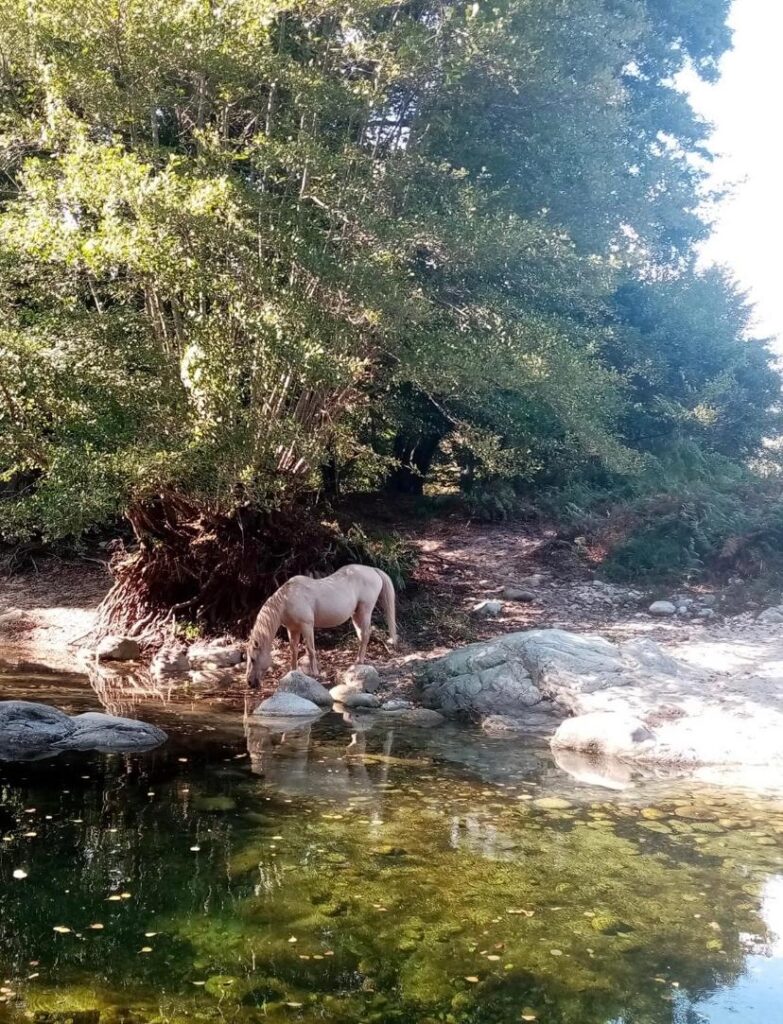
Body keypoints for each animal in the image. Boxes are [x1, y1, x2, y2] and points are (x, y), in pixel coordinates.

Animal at [244, 569, 397, 688]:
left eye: (253, 659)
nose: (250, 682)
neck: (286, 600)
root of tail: (373, 570)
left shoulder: (306, 626)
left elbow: (310, 649)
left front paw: (315, 673)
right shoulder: (293, 629)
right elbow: (293, 650)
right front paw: (293, 671)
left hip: (365, 611)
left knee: (365, 634)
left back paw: (360, 661)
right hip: (356, 615)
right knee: (361, 635)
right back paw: (357, 660)